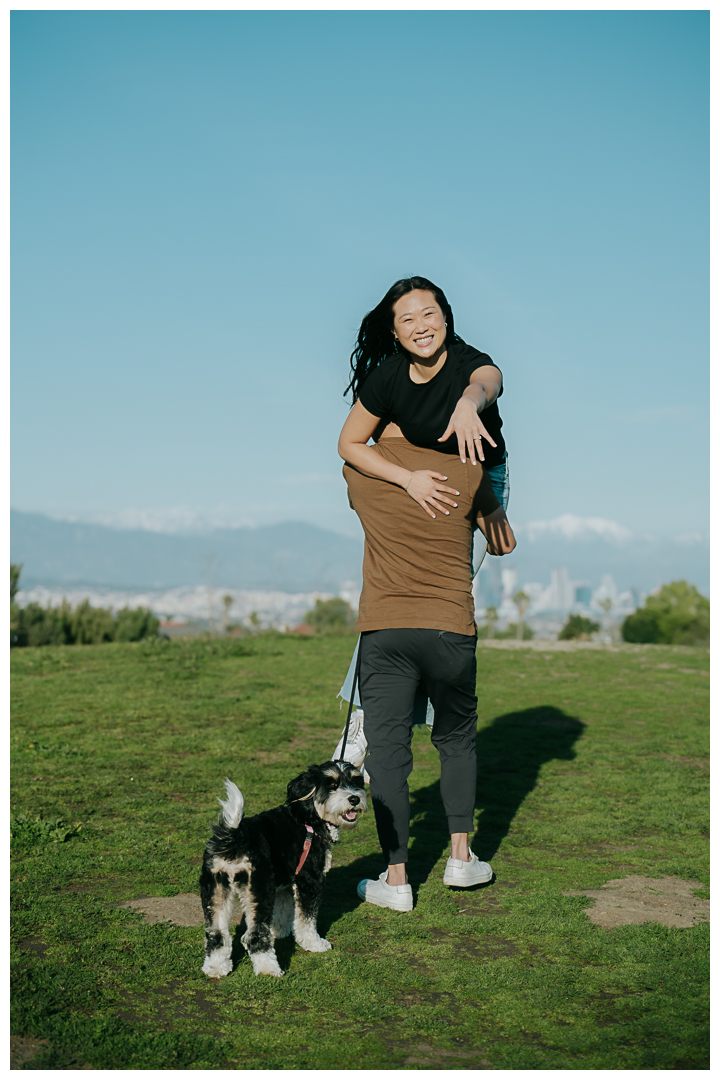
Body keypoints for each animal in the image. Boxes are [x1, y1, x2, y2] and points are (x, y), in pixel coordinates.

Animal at [199, 760, 367, 980]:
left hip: (215, 890)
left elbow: (283, 909)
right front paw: (313, 943)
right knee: (254, 936)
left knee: (216, 934)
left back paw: (216, 968)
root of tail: (235, 838)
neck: (308, 817)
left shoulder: (284, 883)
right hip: (258, 890)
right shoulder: (309, 880)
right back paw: (268, 969)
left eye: (356, 781)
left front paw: (278, 931)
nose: (355, 798)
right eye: (332, 784)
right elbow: (306, 919)